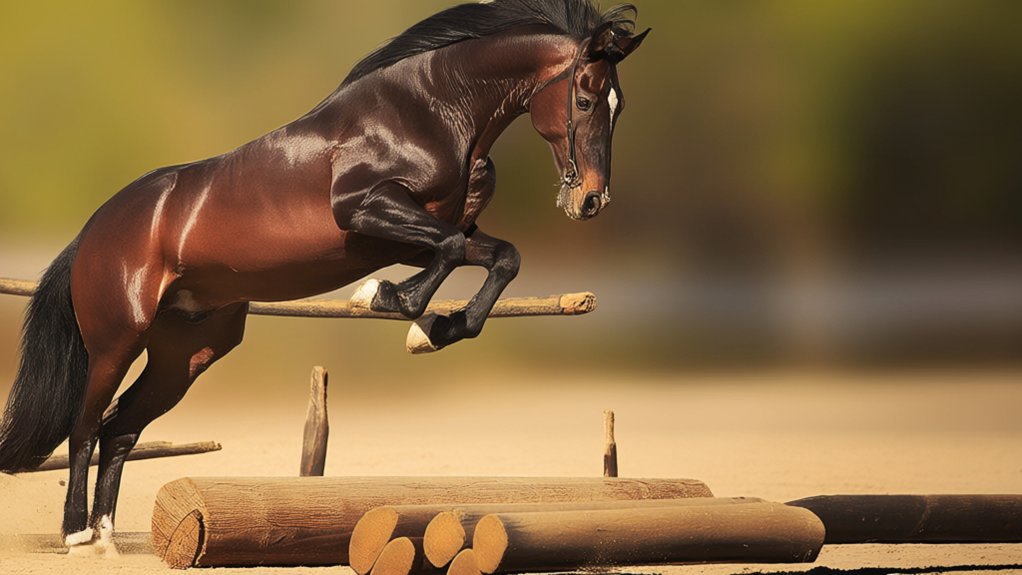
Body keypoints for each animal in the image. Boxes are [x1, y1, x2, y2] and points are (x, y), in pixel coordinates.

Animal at [0, 0, 648, 556]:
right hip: (117, 340)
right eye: (585, 100)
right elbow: (450, 251)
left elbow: (498, 256)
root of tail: (96, 228)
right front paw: (387, 300)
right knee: (86, 426)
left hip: (187, 353)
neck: (432, 109)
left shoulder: (414, 234)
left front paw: (431, 330)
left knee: (120, 429)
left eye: (619, 107)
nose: (592, 201)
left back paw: (106, 538)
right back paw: (76, 534)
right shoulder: (365, 210)